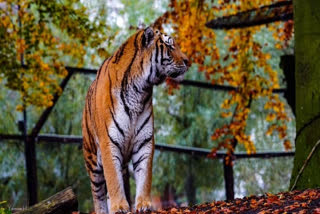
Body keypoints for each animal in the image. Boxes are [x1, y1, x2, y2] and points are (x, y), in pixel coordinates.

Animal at [81, 27, 190, 214]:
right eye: (170, 46)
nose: (188, 61)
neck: (140, 89)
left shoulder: (144, 140)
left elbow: (144, 175)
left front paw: (143, 205)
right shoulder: (108, 143)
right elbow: (113, 179)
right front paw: (119, 207)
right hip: (92, 159)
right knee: (98, 192)